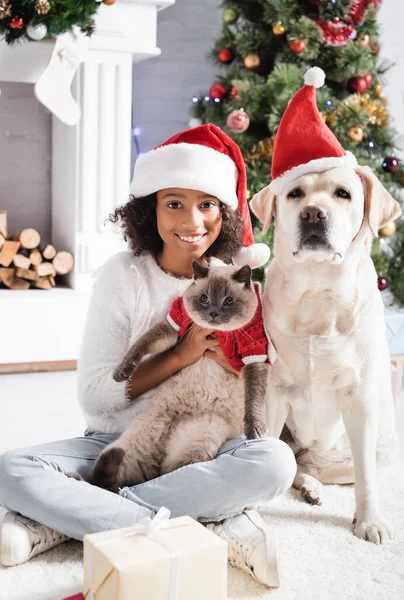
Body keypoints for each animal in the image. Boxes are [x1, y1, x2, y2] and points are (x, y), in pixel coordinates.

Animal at [87, 262, 274, 492]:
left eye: (229, 301)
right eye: (204, 298)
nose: (213, 313)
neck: (215, 333)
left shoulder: (254, 355)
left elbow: (254, 398)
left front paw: (255, 431)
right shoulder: (175, 325)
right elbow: (142, 344)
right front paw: (121, 374)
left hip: (200, 439)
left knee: (166, 474)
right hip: (135, 439)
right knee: (111, 477)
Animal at [252, 166, 400, 548]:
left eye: (343, 194)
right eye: (295, 194)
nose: (313, 214)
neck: (317, 293)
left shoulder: (360, 398)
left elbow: (366, 477)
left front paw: (370, 521)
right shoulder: (274, 391)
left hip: (384, 447)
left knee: (321, 466)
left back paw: (314, 488)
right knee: (293, 462)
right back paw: (309, 488)